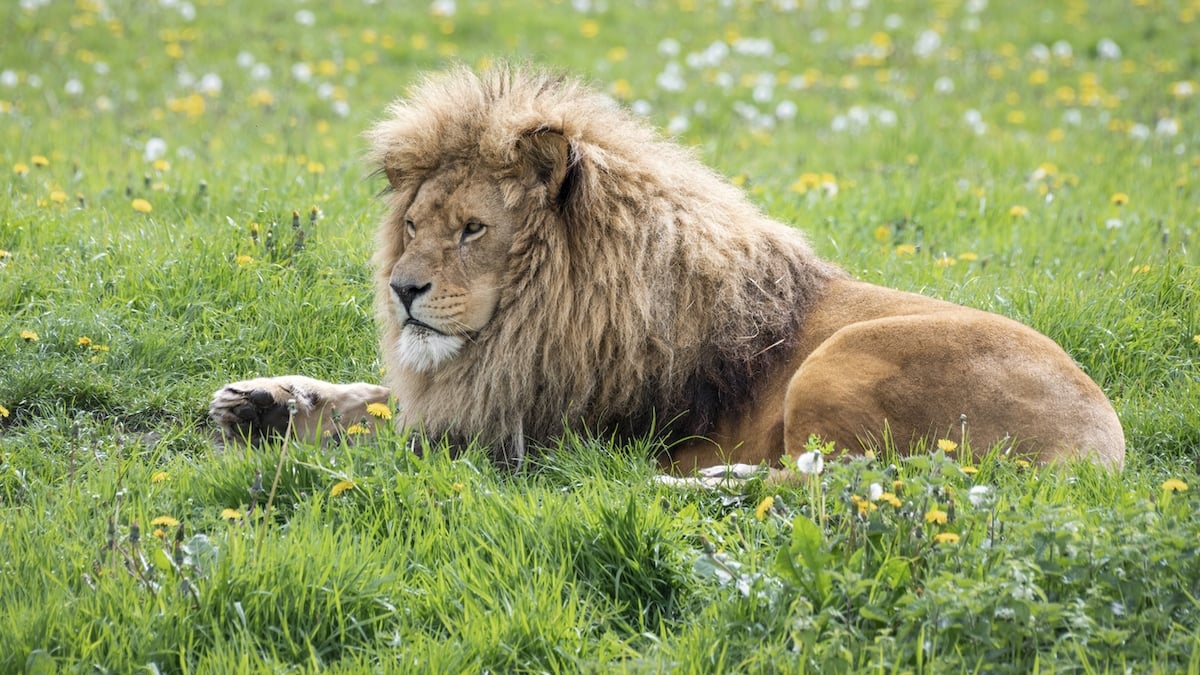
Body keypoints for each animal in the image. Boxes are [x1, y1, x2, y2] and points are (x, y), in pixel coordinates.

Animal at [213, 65, 1123, 470]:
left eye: (473, 229)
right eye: (412, 225)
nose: (403, 289)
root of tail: (1102, 448)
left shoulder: (529, 426)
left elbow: (387, 432)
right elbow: (369, 401)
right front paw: (263, 403)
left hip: (845, 360)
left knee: (819, 481)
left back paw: (676, 480)